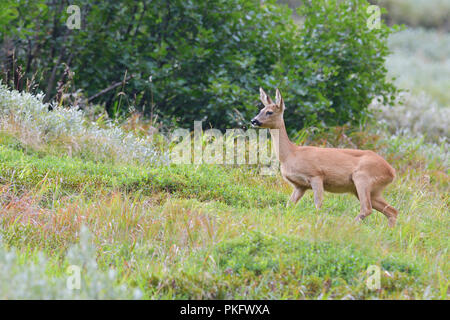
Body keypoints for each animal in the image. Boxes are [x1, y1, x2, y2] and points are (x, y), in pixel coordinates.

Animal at [251, 88, 400, 228]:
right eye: (261, 109)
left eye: (269, 112)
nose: (253, 121)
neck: (290, 154)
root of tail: (391, 171)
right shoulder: (300, 186)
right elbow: (289, 205)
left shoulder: (316, 175)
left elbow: (318, 204)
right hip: (372, 189)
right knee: (392, 211)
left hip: (362, 178)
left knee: (367, 208)